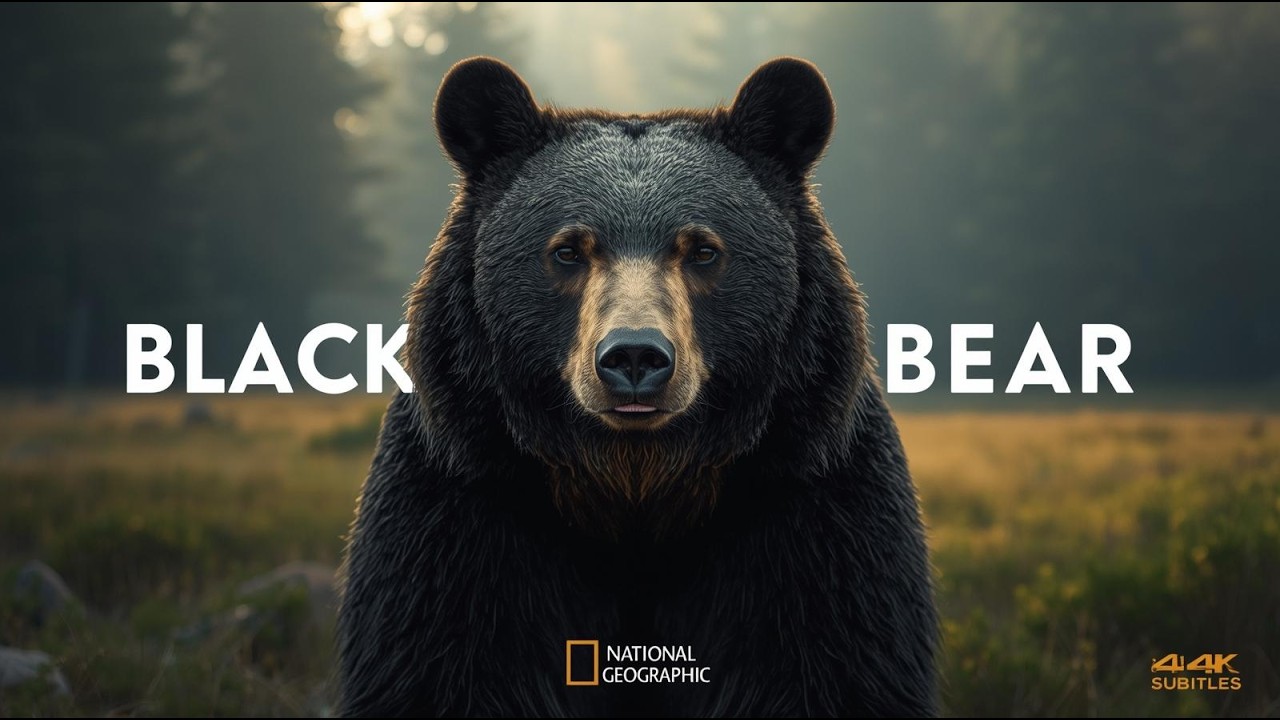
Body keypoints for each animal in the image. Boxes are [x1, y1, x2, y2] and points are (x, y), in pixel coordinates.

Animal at [337, 57, 938, 717]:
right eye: (568, 250)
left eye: (702, 249)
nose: (633, 356)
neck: (635, 489)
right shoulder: (464, 503)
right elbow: (438, 659)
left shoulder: (810, 502)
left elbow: (835, 658)